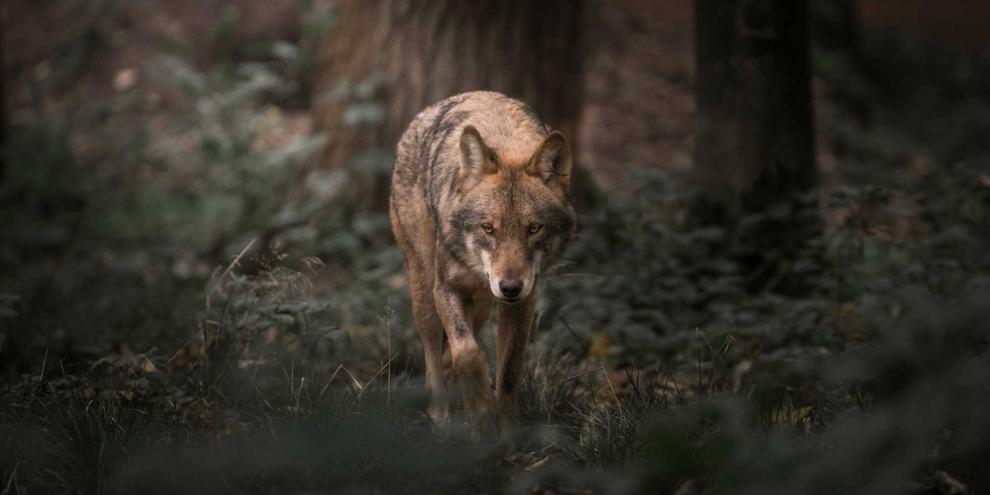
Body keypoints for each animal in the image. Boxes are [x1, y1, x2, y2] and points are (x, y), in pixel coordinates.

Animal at [389, 91, 576, 429]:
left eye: (533, 228)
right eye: (488, 228)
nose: (510, 287)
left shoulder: (524, 301)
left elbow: (510, 371)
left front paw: (503, 427)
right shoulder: (446, 289)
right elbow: (467, 352)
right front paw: (482, 412)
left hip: (483, 304)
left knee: (454, 346)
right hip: (424, 288)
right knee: (433, 352)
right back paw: (440, 412)